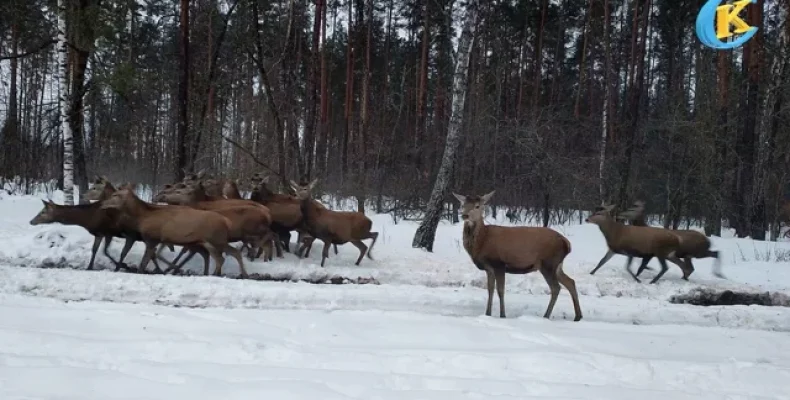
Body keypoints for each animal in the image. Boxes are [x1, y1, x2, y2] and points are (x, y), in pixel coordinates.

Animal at [99, 188, 249, 278]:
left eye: (115, 195)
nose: (102, 204)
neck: (142, 217)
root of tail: (226, 222)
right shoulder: (158, 240)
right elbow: (153, 257)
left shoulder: (152, 238)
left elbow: (145, 261)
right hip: (210, 241)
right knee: (230, 253)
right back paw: (240, 274)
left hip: (215, 239)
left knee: (222, 257)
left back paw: (215, 274)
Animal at [452, 191, 580, 322]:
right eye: (462, 205)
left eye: (477, 206)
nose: (464, 215)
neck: (483, 241)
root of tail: (567, 243)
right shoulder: (489, 268)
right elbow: (490, 289)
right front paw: (487, 314)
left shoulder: (499, 263)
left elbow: (500, 290)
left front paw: (502, 315)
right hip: (557, 265)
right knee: (571, 282)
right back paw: (578, 316)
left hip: (548, 263)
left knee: (556, 287)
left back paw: (546, 316)